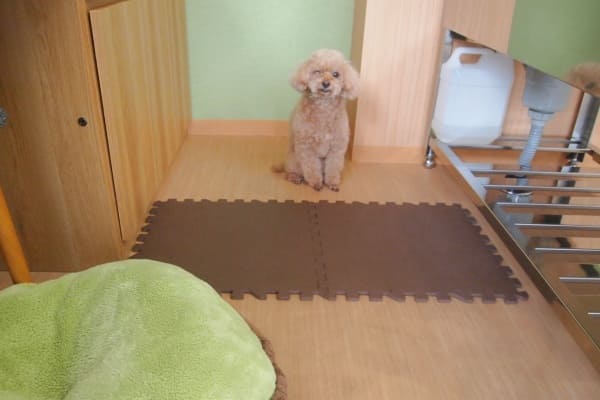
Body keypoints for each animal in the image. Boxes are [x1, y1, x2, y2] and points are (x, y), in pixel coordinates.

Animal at [274, 49, 360, 191]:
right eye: (317, 71)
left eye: (336, 74)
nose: (325, 84)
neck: (323, 107)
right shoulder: (306, 146)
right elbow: (312, 167)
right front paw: (316, 183)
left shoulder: (337, 146)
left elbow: (333, 166)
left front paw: (332, 182)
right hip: (294, 159)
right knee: (290, 172)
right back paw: (295, 178)